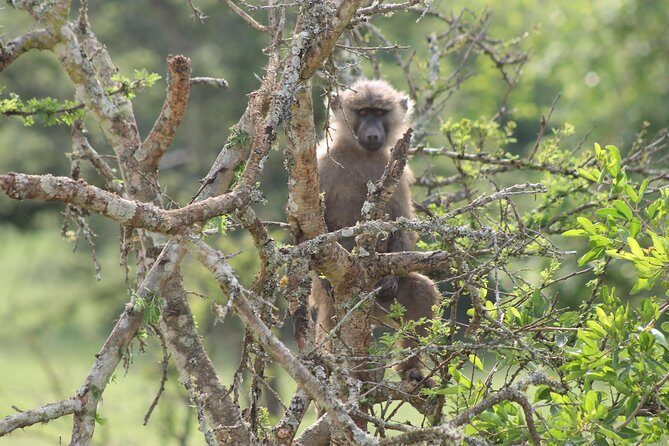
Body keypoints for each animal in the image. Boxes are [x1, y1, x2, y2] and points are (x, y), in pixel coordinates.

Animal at [310, 79, 440, 383]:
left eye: (380, 113)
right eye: (363, 112)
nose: (372, 134)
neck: (360, 154)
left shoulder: (397, 175)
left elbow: (402, 223)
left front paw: (391, 279)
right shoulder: (322, 164)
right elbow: (308, 227)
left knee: (422, 292)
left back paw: (411, 370)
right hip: (336, 301)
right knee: (331, 318)